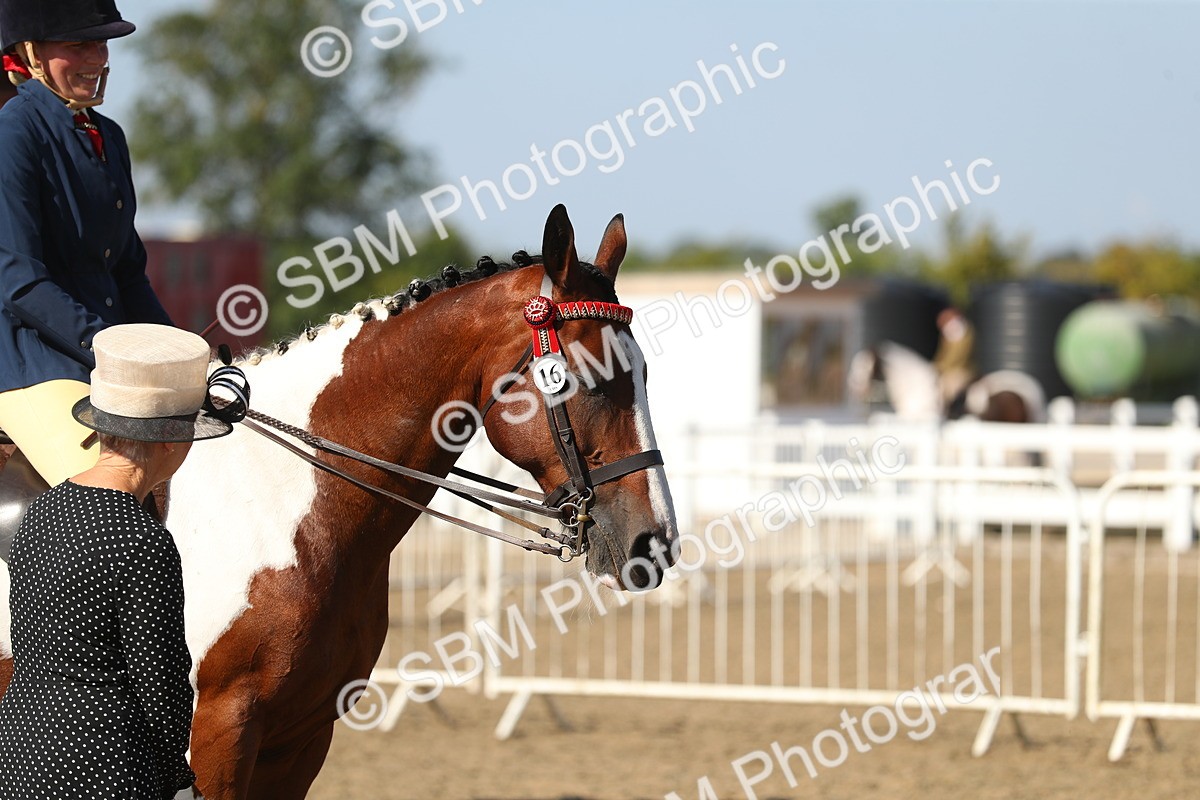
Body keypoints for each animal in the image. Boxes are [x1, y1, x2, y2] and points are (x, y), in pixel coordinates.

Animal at [0, 204, 680, 798]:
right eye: (591, 377)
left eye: (645, 373)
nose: (655, 544)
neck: (285, 504)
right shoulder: (214, 733)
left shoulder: (301, 738)